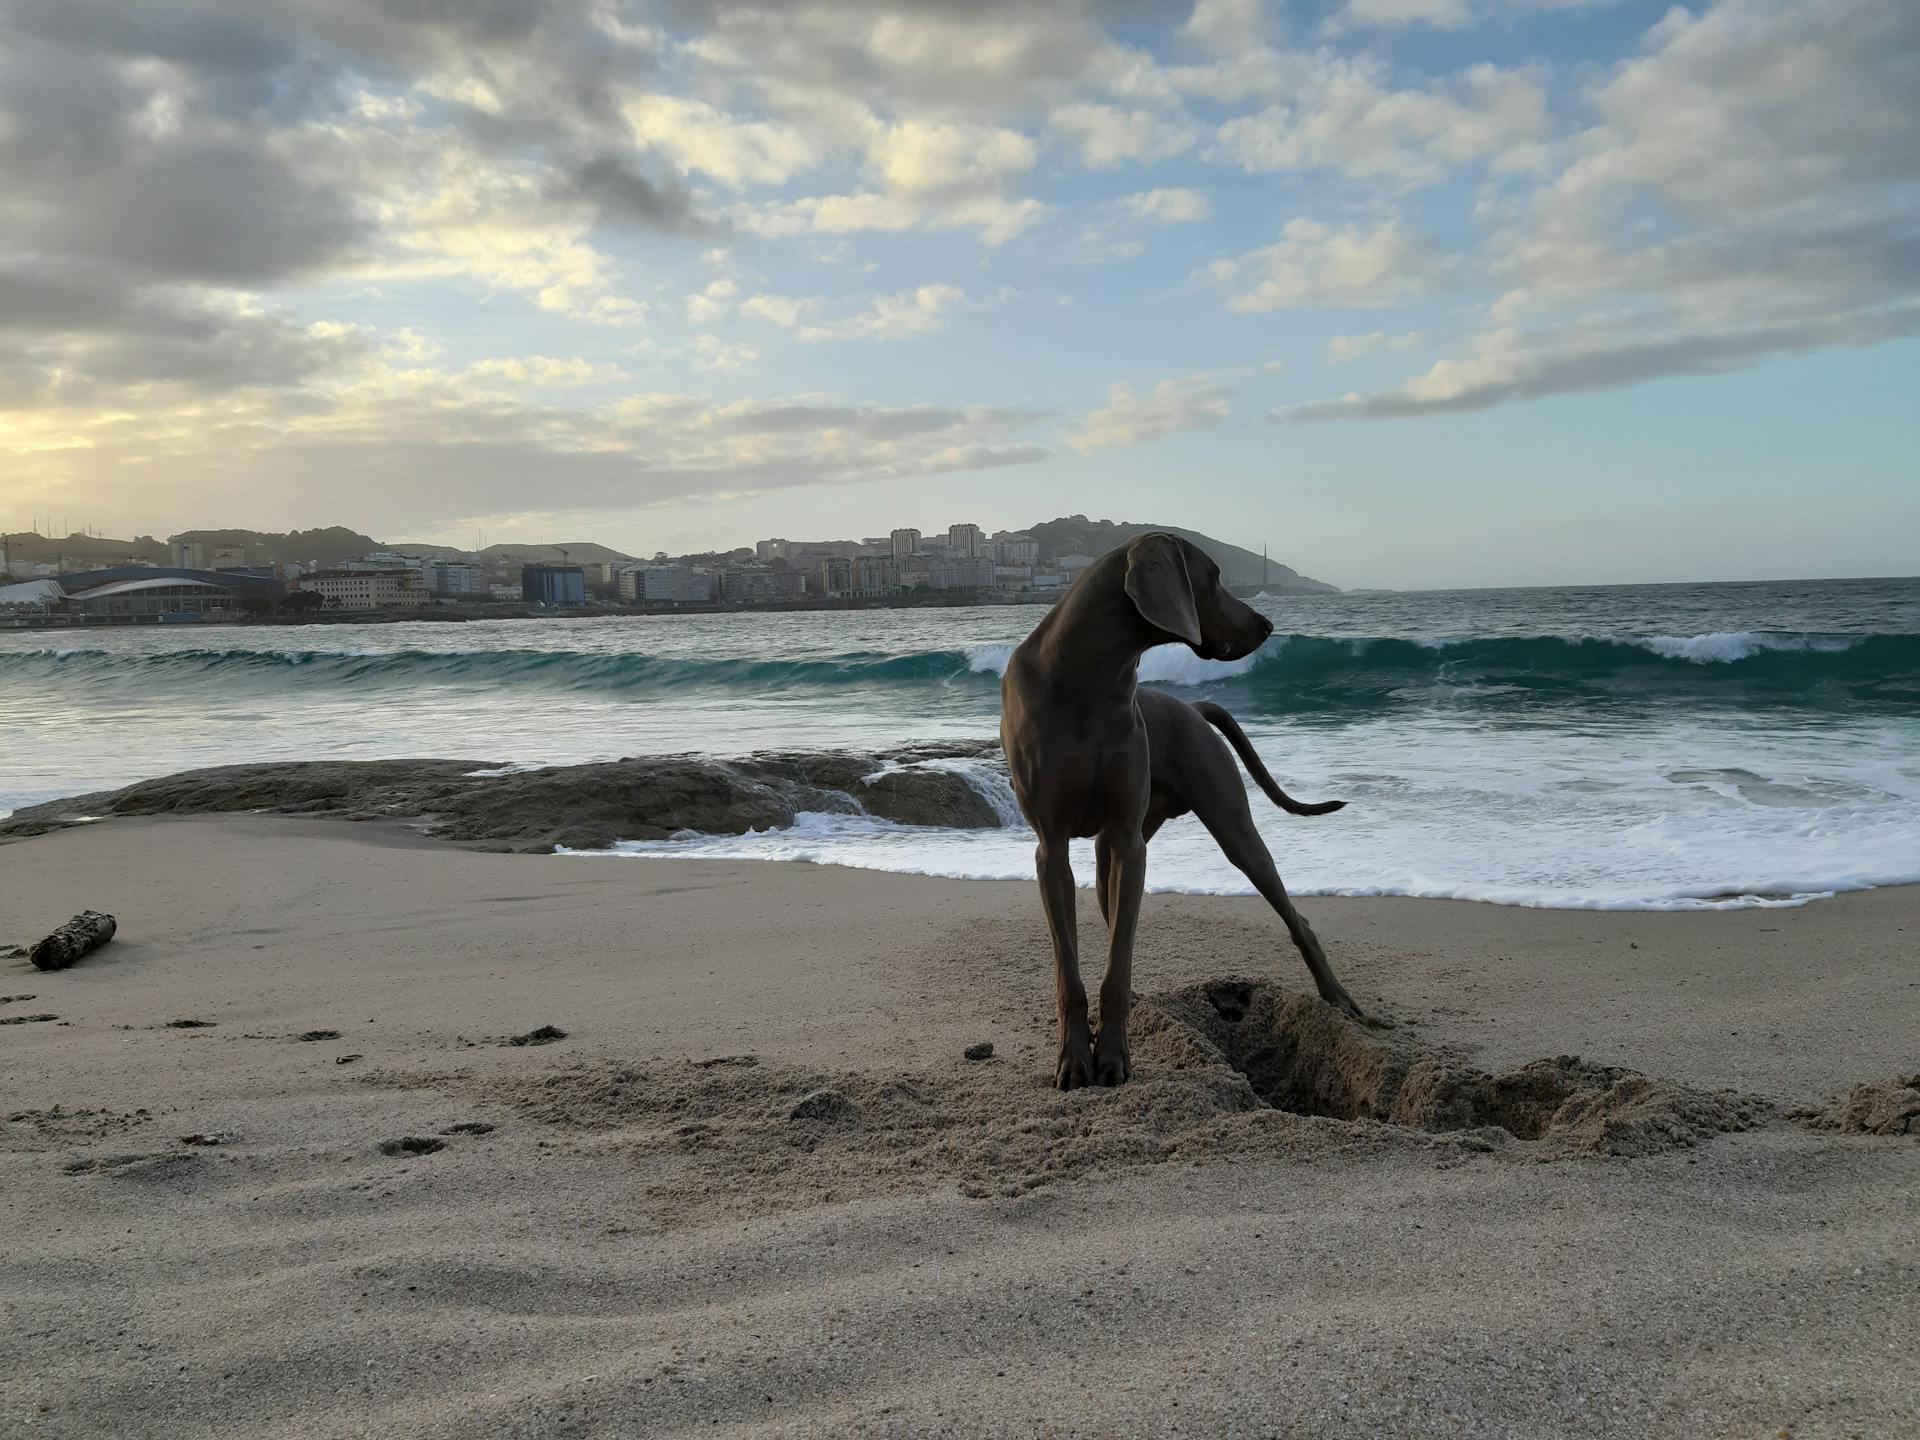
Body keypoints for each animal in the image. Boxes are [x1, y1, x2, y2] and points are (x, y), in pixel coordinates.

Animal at [998, 533, 1374, 1090]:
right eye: (1214, 576)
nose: (1267, 625)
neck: (1090, 678)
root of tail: (1193, 709)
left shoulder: (1129, 840)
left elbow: (1118, 963)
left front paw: (1112, 1057)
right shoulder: (1052, 846)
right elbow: (1070, 970)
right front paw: (1075, 1060)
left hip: (1228, 824)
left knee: (1293, 914)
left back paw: (1337, 997)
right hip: (1116, 849)